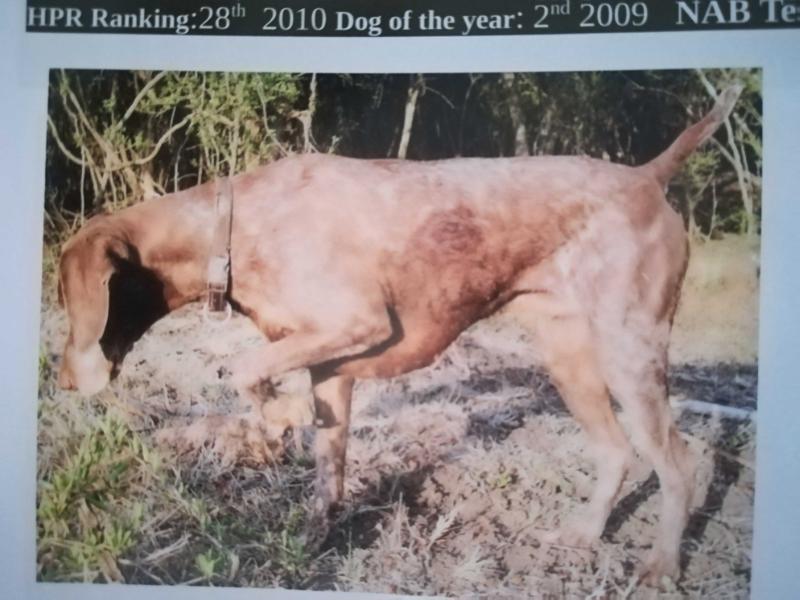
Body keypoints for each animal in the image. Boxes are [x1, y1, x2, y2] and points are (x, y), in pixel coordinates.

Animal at [56, 83, 744, 580]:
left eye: (67, 301)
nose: (60, 381)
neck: (232, 228)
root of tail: (648, 176)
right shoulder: (329, 369)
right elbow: (326, 467)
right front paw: (314, 533)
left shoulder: (358, 323)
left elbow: (244, 369)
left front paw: (278, 419)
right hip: (569, 360)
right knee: (616, 452)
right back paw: (582, 535)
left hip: (631, 353)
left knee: (678, 464)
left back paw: (661, 566)